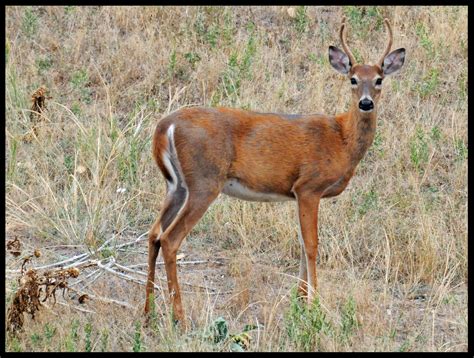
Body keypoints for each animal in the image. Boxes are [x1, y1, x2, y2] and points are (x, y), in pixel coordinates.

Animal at [143, 17, 404, 324]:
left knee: (153, 234)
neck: (341, 139)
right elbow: (312, 245)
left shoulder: (299, 194)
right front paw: (314, 305)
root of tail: (165, 127)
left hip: (176, 185)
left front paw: (300, 301)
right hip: (204, 182)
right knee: (170, 239)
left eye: (379, 79)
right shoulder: (308, 186)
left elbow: (302, 244)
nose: (366, 103)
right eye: (352, 79)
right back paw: (180, 318)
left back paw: (148, 312)